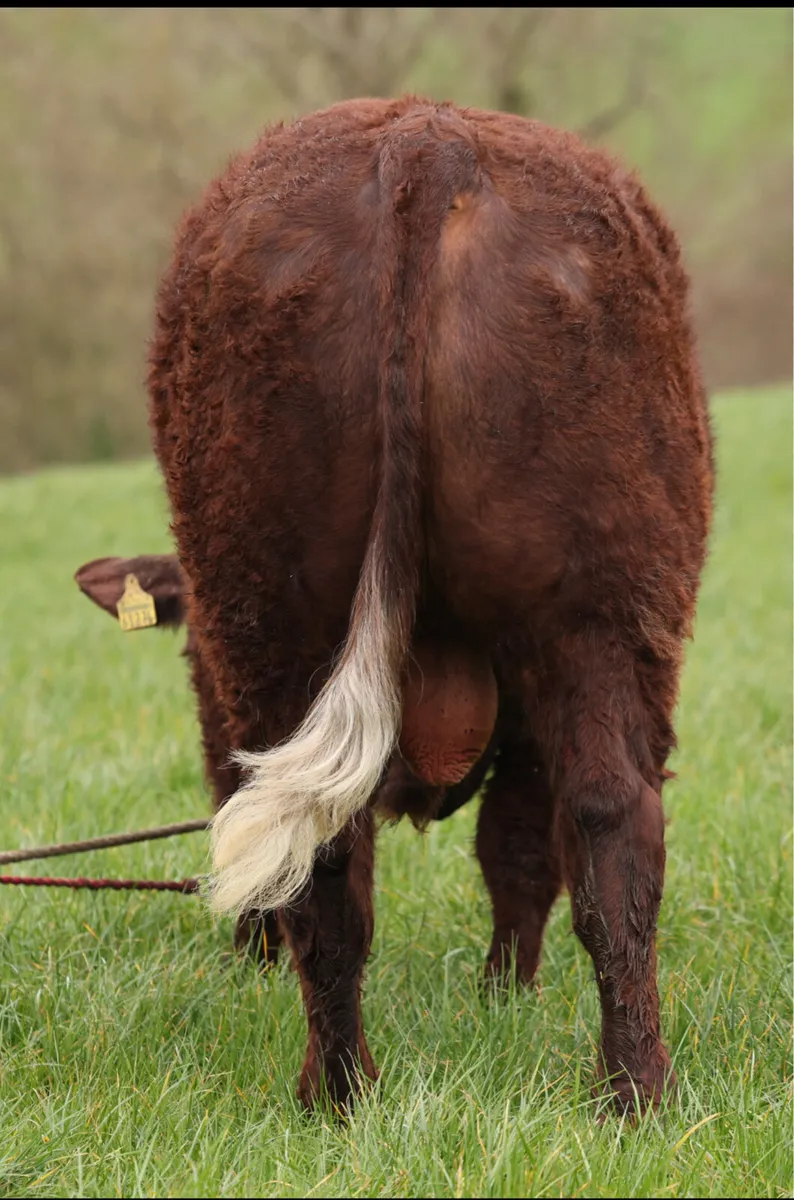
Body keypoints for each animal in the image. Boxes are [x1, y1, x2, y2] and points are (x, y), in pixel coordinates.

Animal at [139, 95, 714, 1113]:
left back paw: (342, 1096)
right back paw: (637, 1091)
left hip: (278, 610)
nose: (244, 950)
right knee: (612, 822)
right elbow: (521, 848)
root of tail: (424, 138)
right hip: (604, 615)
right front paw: (506, 996)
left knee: (331, 857)